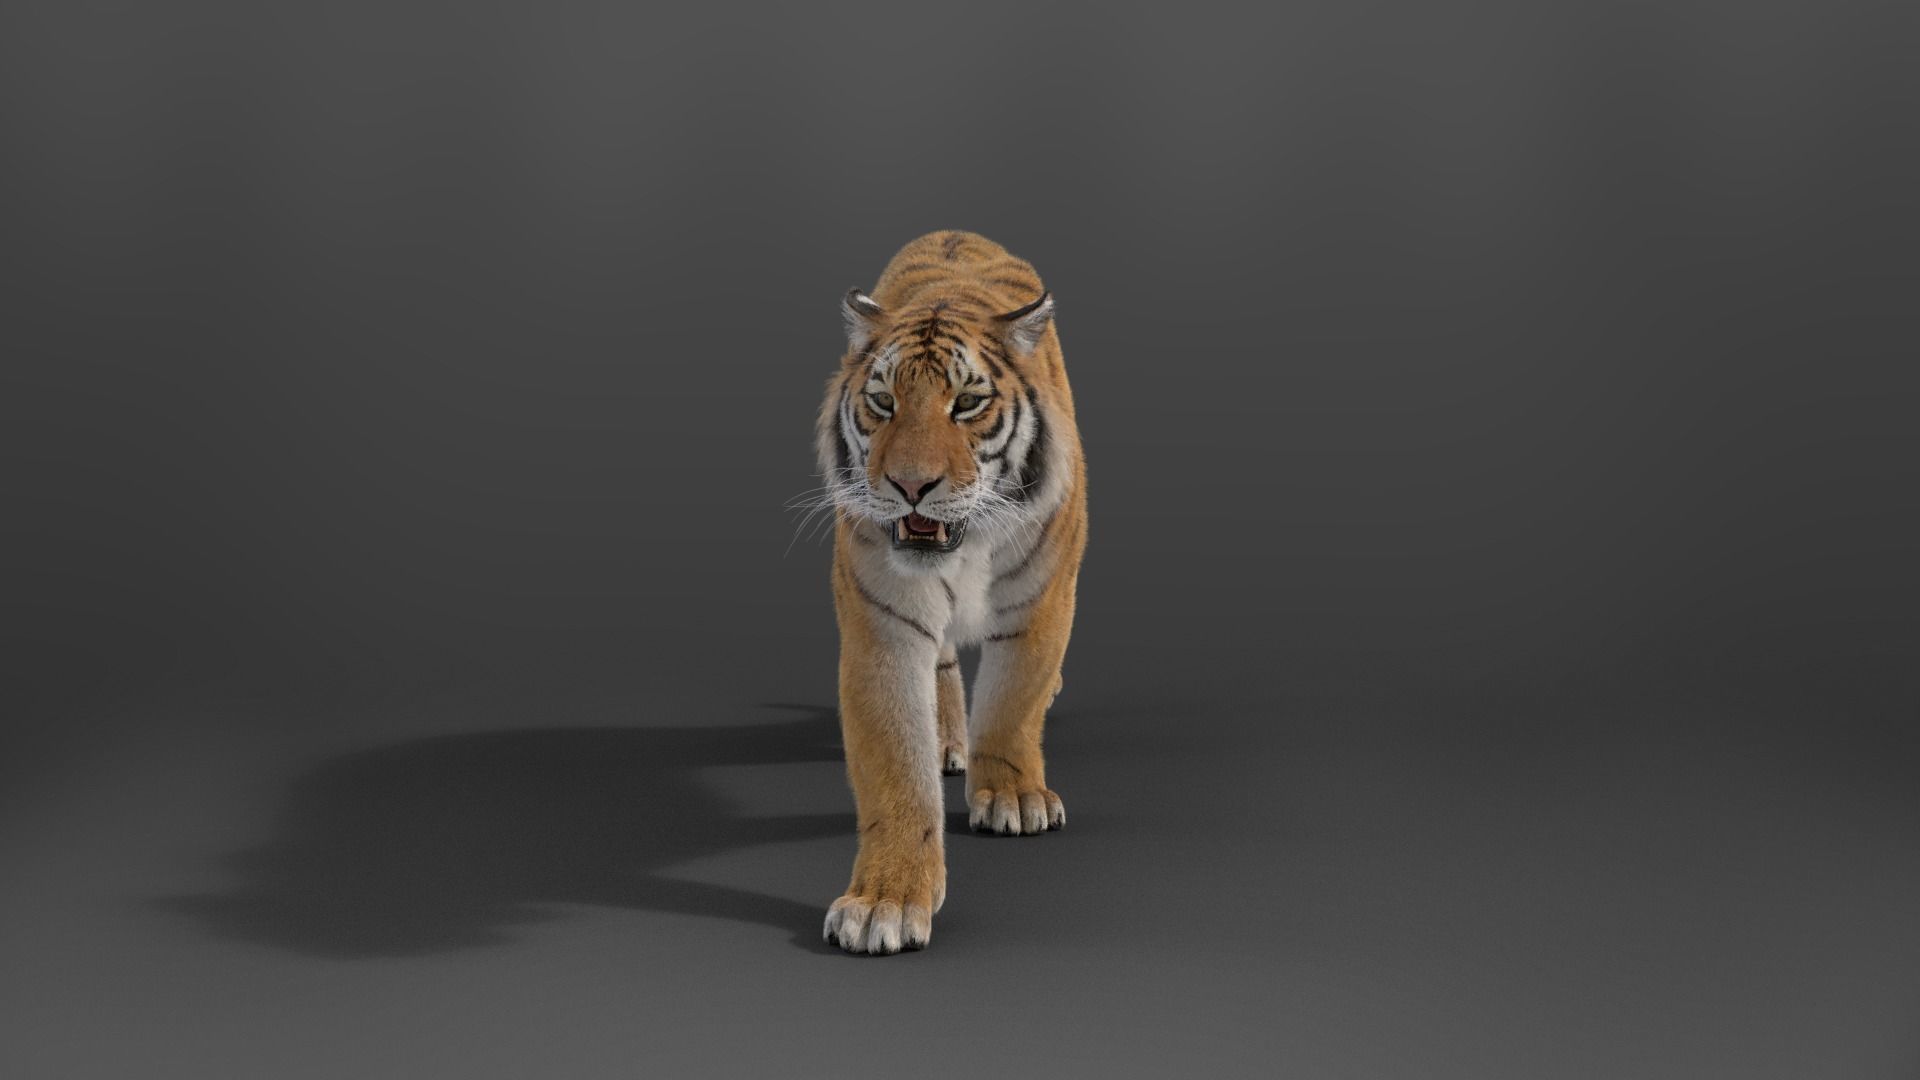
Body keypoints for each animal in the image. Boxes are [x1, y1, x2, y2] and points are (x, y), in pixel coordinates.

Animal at [812, 229, 1087, 955]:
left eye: (966, 403)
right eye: (884, 402)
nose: (911, 485)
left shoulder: (1043, 601)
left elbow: (1012, 703)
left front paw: (1014, 797)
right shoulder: (882, 627)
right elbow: (894, 771)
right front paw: (884, 903)